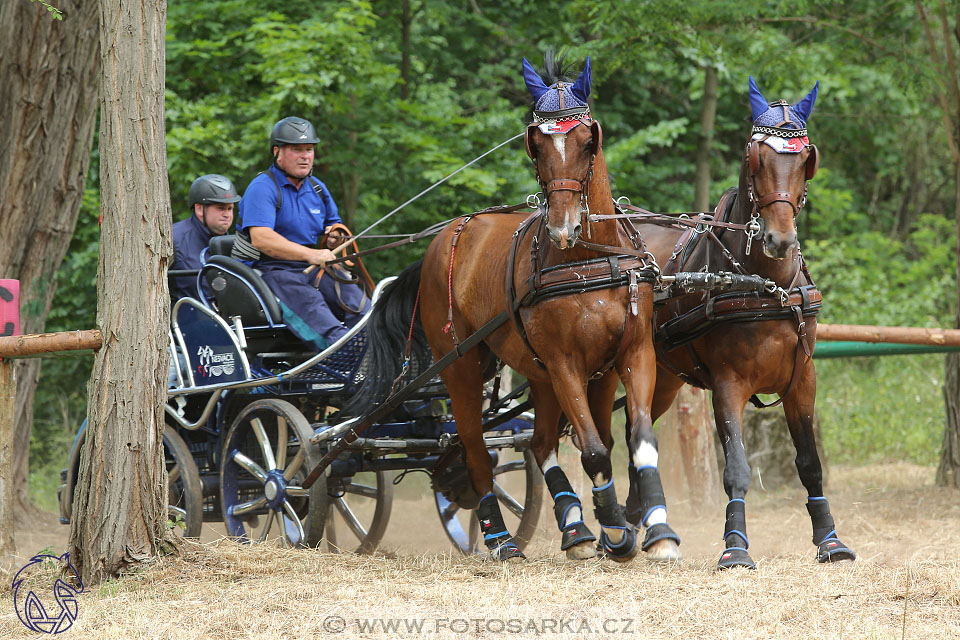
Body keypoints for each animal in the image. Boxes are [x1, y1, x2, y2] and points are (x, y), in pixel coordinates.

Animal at [352, 57, 684, 564]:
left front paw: (655, 531)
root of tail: (443, 238)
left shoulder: (628, 357)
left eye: (587, 140)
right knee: (475, 452)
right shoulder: (566, 365)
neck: (587, 260)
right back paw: (499, 538)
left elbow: (636, 441)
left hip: (537, 372)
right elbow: (593, 450)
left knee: (541, 442)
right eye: (537, 143)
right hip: (463, 366)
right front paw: (614, 531)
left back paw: (575, 528)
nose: (564, 227)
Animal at [624, 76, 856, 568]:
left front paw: (830, 540)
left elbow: (810, 463)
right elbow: (736, 468)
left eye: (805, 160)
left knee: (640, 425)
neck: (765, 285)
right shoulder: (728, 384)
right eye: (756, 158)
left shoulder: (802, 378)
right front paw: (734, 546)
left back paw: (639, 520)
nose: (779, 239)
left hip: (665, 378)